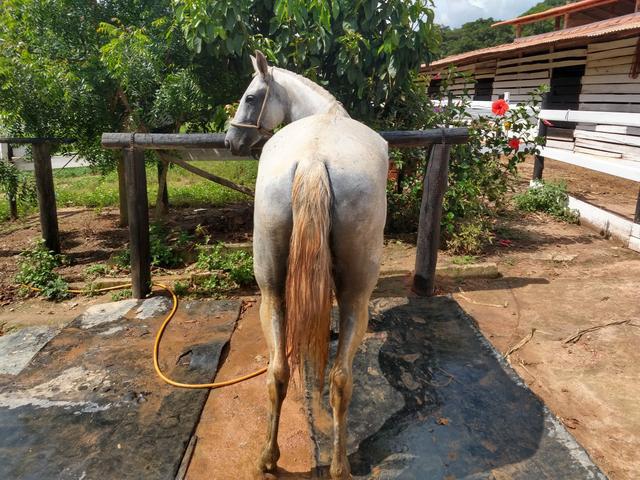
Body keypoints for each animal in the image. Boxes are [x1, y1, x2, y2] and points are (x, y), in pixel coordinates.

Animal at [226, 50, 390, 478]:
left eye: (251, 97)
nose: (230, 140)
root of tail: (315, 158)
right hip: (355, 295)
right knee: (340, 378)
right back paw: (338, 465)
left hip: (270, 289)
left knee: (279, 372)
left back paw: (270, 458)